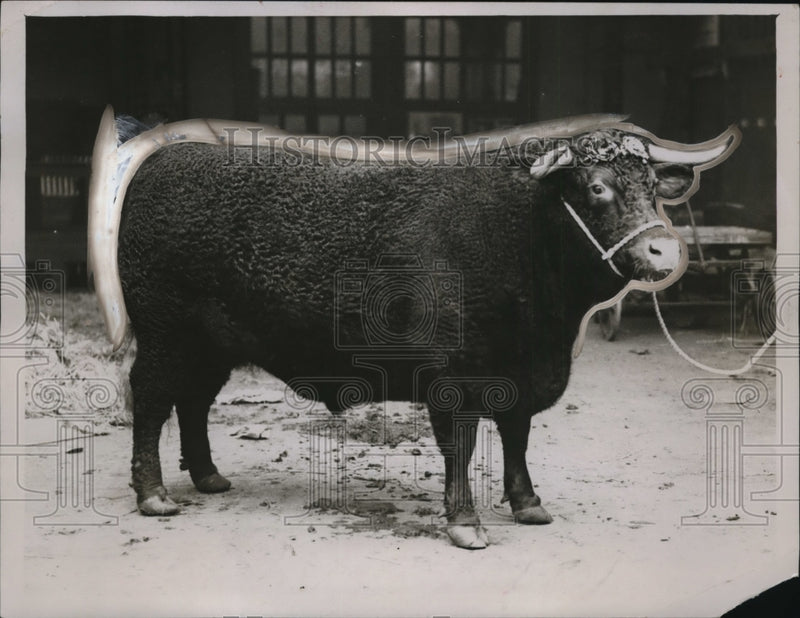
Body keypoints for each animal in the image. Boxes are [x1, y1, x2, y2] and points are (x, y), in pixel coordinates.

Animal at [88, 106, 738, 548]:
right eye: (597, 187)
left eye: (653, 188)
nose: (663, 252)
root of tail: (168, 159)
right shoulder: (452, 380)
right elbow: (461, 446)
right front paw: (466, 523)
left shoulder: (519, 373)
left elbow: (518, 435)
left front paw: (528, 503)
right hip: (167, 335)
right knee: (151, 400)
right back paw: (155, 496)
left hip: (211, 345)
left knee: (193, 402)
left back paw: (208, 477)